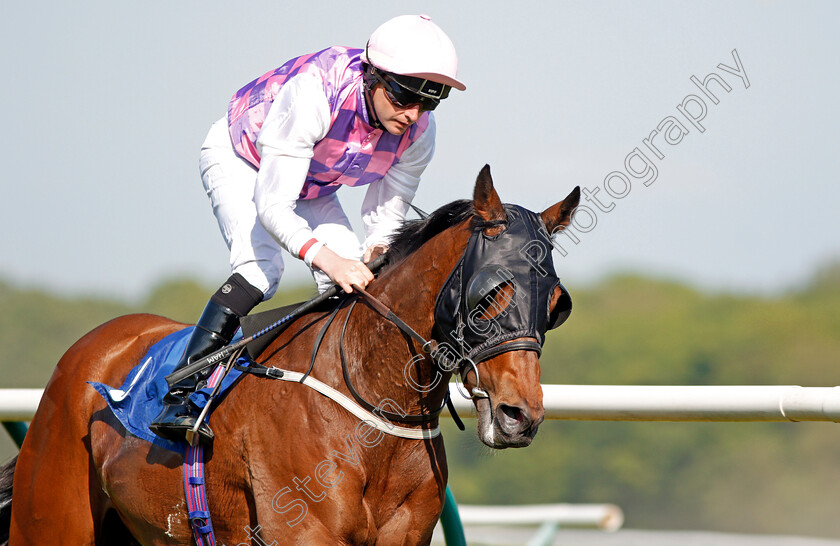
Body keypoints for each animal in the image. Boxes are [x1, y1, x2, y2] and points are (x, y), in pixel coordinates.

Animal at [1, 164, 576, 540]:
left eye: (556, 305)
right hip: (51, 519)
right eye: (490, 294)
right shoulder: (303, 529)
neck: (371, 404)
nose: (520, 416)